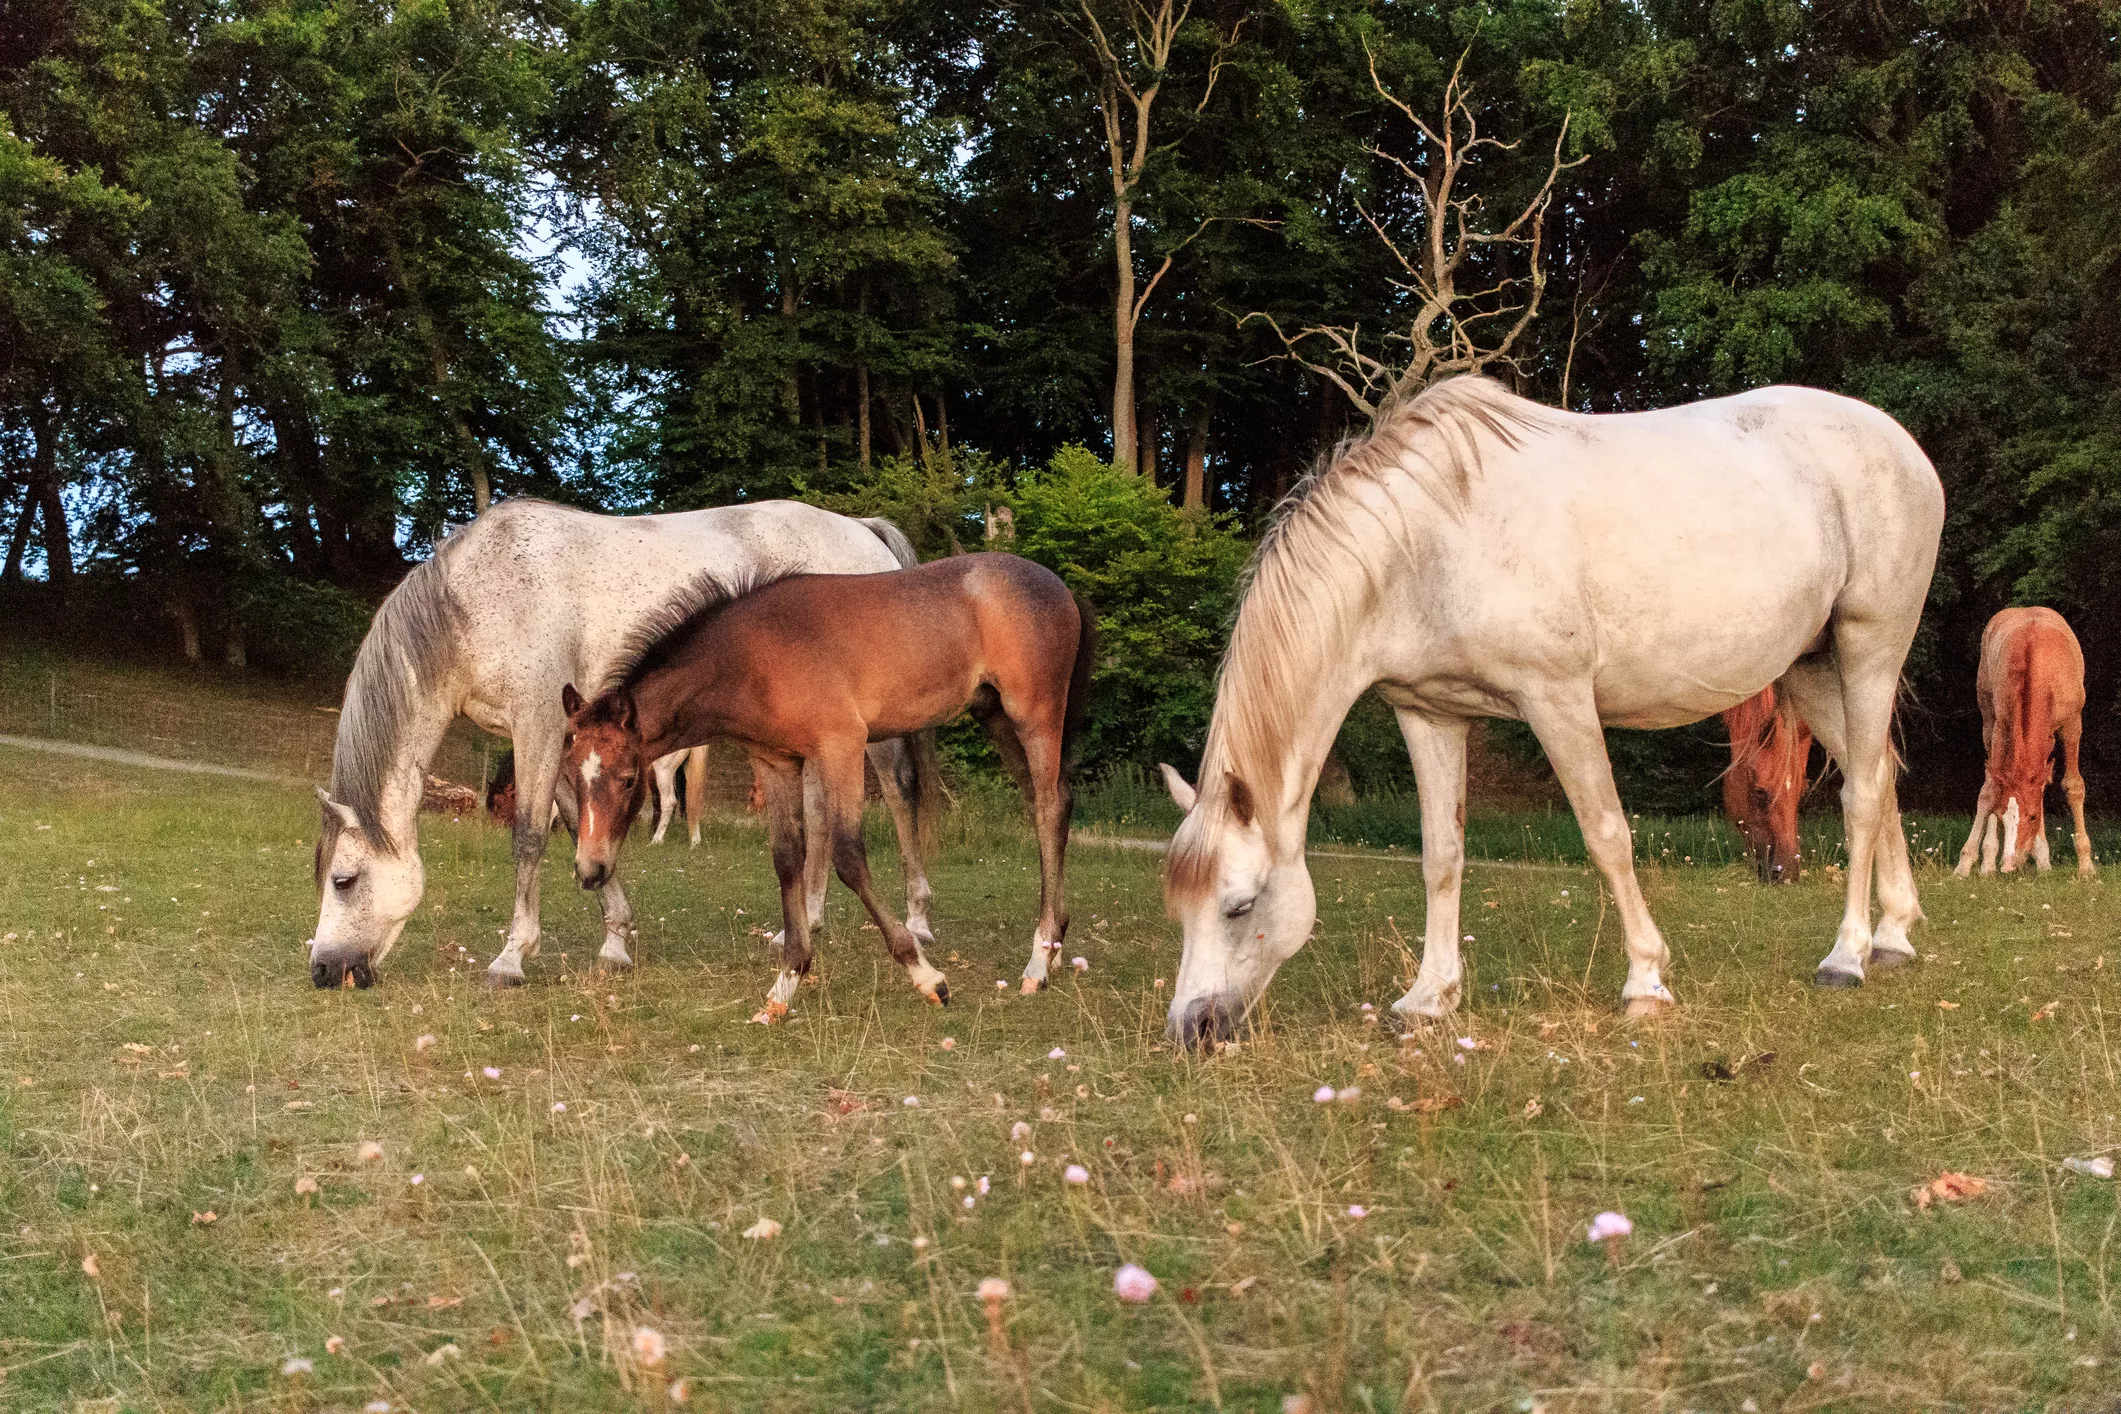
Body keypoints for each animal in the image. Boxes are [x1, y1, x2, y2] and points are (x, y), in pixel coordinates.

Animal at [307, 498, 941, 989]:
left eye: (344, 880)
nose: (321, 970)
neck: (478, 599)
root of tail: (862, 529)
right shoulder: (567, 743)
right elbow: (577, 828)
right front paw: (614, 940)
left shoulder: (537, 726)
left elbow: (530, 837)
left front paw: (511, 957)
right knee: (818, 812)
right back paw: (803, 921)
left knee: (899, 792)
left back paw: (916, 921)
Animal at [560, 552, 1094, 1019]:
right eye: (569, 775)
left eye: (629, 779)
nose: (589, 869)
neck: (751, 654)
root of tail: (1059, 586)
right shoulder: (776, 763)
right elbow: (787, 858)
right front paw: (784, 986)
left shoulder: (842, 746)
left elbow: (849, 858)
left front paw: (927, 978)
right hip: (995, 715)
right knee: (1050, 803)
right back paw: (1056, 947)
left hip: (1034, 716)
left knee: (1049, 808)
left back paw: (1038, 962)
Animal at [1954, 606, 2094, 877]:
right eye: (2001, 815)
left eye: (2031, 817)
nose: (2009, 864)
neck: (2039, 669)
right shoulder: (2001, 726)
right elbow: (1989, 790)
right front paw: (1971, 863)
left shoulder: (2072, 724)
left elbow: (2073, 786)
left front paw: (2086, 867)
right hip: (1989, 720)